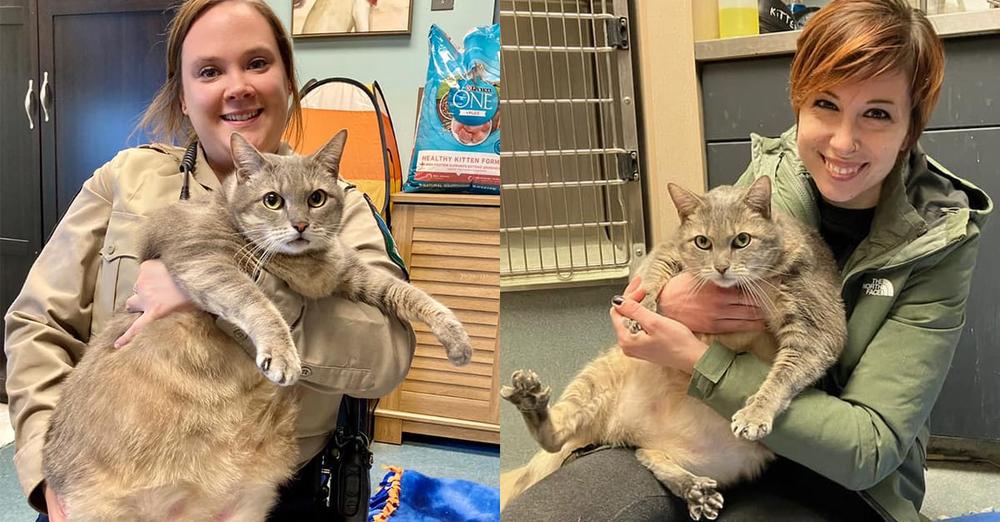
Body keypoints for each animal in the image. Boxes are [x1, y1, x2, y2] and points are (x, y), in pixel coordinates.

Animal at [41, 132, 470, 516]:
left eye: (316, 198)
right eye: (272, 200)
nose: (300, 225)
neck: (304, 268)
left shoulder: (352, 273)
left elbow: (410, 293)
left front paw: (457, 338)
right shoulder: (205, 261)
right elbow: (258, 302)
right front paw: (282, 354)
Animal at [500, 177, 844, 516]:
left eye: (742, 240)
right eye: (702, 242)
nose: (721, 267)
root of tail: (625, 429)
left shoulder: (819, 328)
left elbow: (783, 375)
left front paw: (755, 412)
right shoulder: (666, 250)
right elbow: (653, 274)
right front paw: (644, 307)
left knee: (647, 455)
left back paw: (695, 490)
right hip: (595, 379)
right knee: (558, 438)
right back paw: (530, 399)